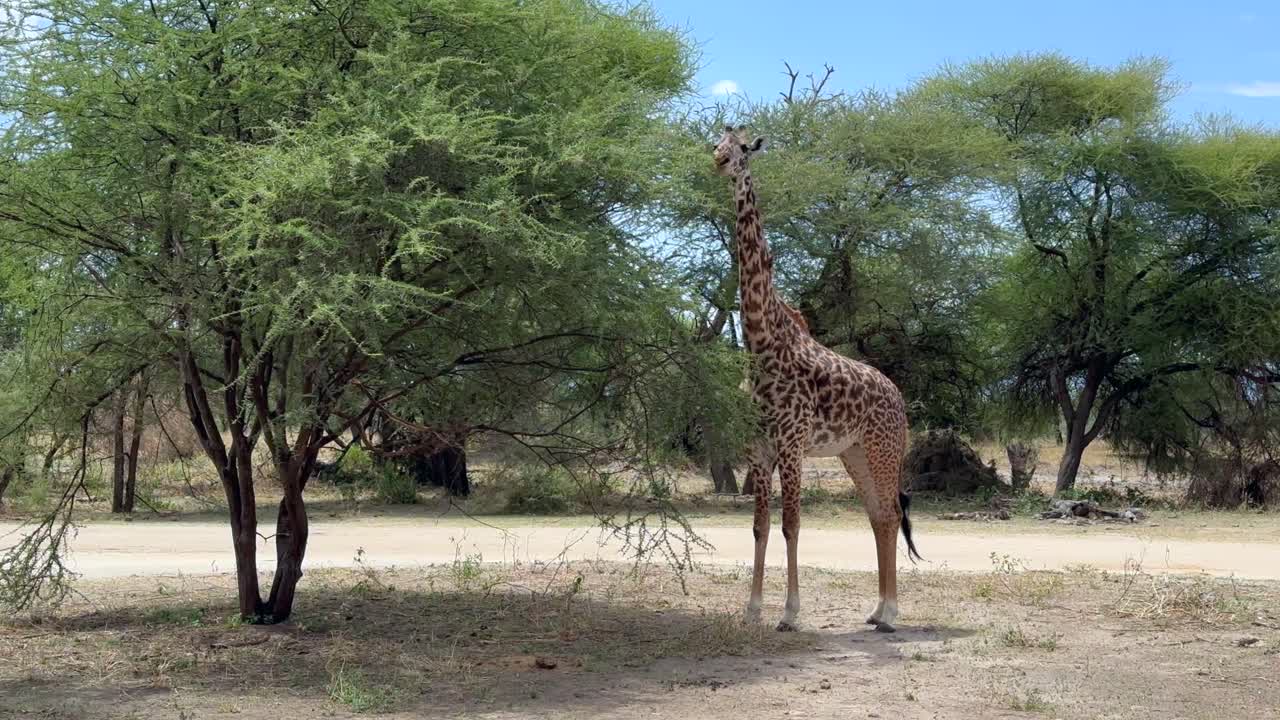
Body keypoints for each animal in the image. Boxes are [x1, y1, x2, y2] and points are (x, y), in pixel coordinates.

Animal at [713, 125, 921, 633]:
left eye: (743, 149)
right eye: (715, 142)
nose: (718, 162)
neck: (761, 343)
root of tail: (897, 395)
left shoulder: (791, 444)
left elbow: (792, 525)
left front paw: (790, 613)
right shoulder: (759, 448)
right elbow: (760, 527)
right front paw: (751, 610)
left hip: (885, 449)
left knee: (890, 512)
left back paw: (891, 613)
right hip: (854, 453)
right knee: (878, 516)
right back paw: (876, 610)